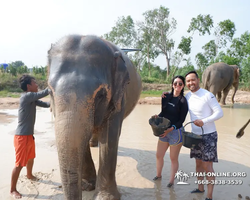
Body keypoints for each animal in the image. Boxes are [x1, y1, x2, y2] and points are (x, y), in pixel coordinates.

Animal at [46, 34, 142, 200]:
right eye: (50, 91)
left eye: (101, 94)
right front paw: (86, 186)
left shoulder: (119, 97)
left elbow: (109, 137)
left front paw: (105, 197)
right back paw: (92, 144)